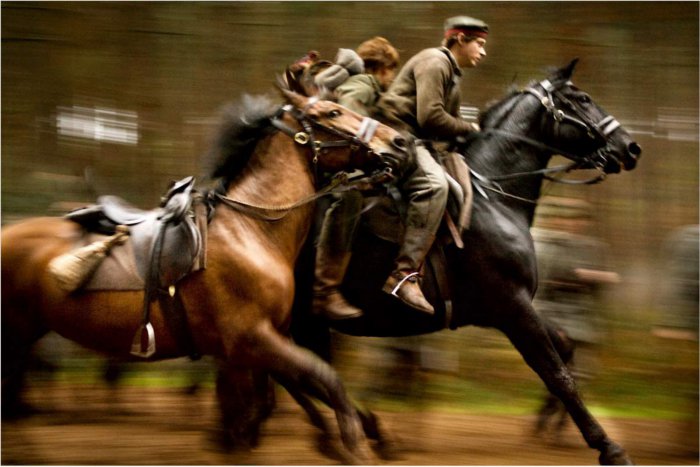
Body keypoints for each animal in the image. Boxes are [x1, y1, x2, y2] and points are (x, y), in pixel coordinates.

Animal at [2, 88, 410, 464]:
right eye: (333, 112)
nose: (400, 141)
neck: (252, 229)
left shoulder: (244, 351)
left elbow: (260, 407)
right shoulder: (252, 340)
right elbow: (323, 378)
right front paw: (354, 444)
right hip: (17, 336)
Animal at [288, 60, 644, 466]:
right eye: (583, 98)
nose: (631, 147)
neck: (494, 197)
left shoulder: (507, 310)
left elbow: (565, 350)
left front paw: (552, 424)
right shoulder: (512, 308)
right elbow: (558, 374)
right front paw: (609, 447)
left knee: (302, 372)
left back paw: (356, 433)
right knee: (305, 372)